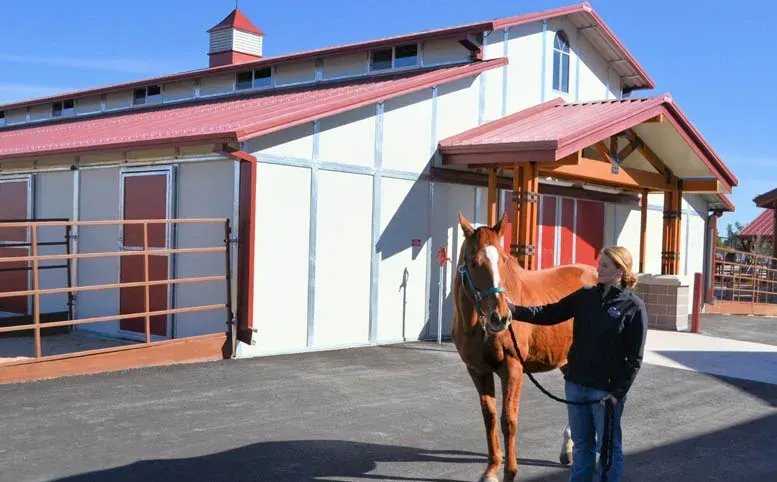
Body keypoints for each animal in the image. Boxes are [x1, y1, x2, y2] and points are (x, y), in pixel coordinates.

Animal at [451, 212, 597, 482]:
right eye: (474, 263)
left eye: (504, 261)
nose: (500, 317)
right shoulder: (478, 371)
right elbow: (489, 418)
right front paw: (491, 470)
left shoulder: (513, 367)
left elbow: (509, 419)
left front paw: (510, 472)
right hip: (569, 361)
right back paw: (568, 449)